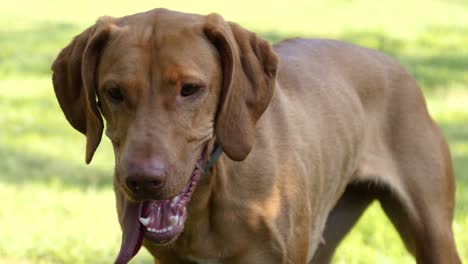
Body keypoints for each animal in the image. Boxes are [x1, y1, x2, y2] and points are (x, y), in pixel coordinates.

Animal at [51, 8, 460, 264]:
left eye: (190, 89)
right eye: (114, 92)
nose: (141, 182)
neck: (212, 190)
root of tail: (396, 64)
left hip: (433, 235)